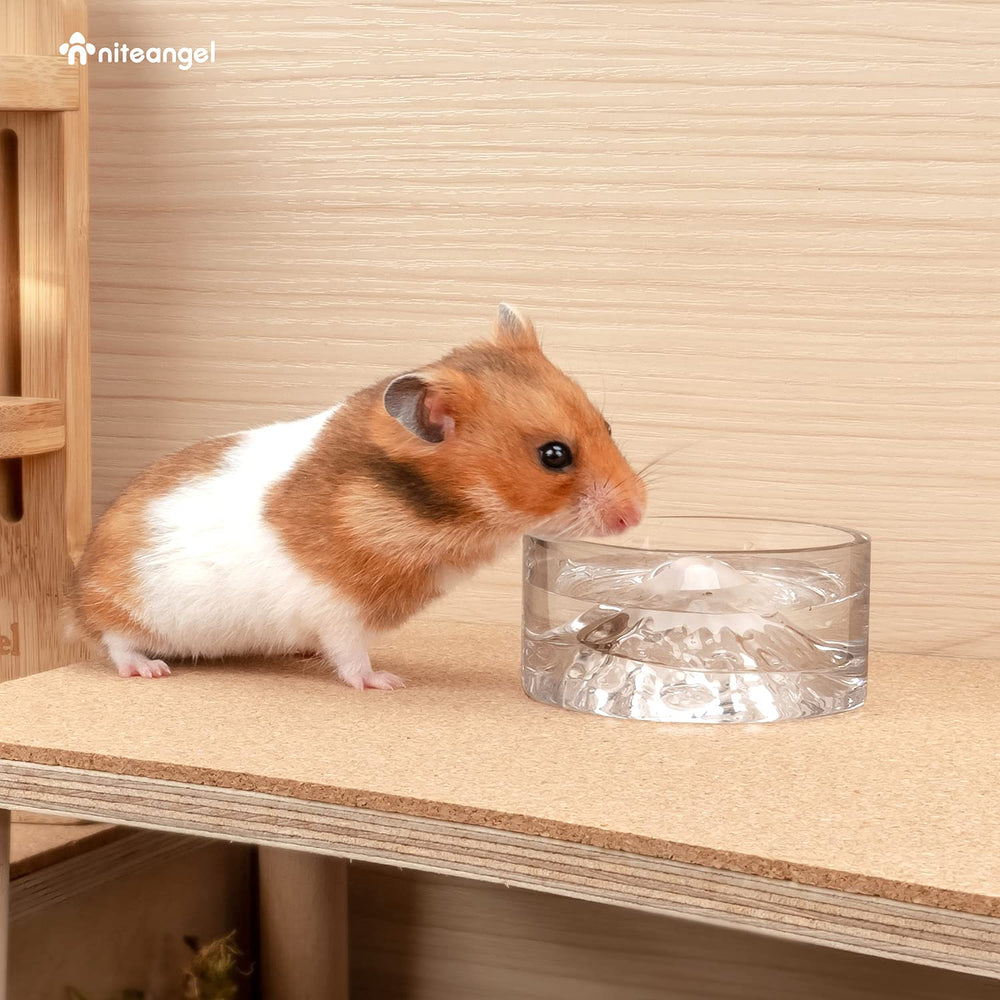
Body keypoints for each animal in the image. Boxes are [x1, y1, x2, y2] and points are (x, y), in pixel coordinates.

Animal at [71, 304, 647, 689]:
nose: (637, 515)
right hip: (125, 607)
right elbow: (351, 657)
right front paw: (388, 683)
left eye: (607, 425)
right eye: (554, 455)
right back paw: (149, 669)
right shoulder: (338, 611)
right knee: (114, 641)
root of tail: (77, 588)